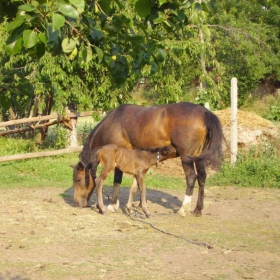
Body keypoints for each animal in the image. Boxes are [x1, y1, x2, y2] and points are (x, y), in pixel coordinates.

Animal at [72, 102, 223, 217]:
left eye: (78, 179)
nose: (77, 203)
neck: (113, 123)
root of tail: (204, 113)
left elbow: (117, 180)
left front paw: (112, 205)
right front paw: (137, 204)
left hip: (186, 157)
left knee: (191, 177)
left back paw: (183, 209)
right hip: (199, 157)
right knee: (202, 177)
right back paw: (197, 209)